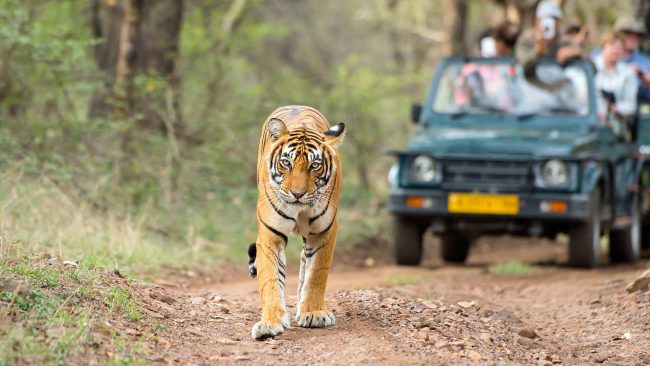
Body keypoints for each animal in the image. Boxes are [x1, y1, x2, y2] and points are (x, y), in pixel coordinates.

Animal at [247, 104, 344, 338]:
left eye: (314, 165)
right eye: (286, 163)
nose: (298, 194)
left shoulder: (324, 232)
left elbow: (316, 274)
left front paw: (314, 313)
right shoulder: (269, 234)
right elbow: (271, 279)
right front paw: (270, 323)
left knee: (304, 261)